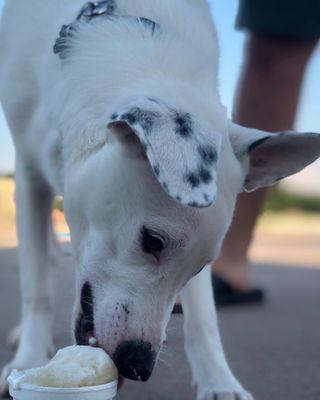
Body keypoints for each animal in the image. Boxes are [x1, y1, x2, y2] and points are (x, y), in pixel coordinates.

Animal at [0, 0, 320, 398]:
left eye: (200, 267)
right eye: (153, 240)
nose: (137, 365)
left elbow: (204, 315)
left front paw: (219, 379)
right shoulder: (29, 178)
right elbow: (35, 285)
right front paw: (28, 359)